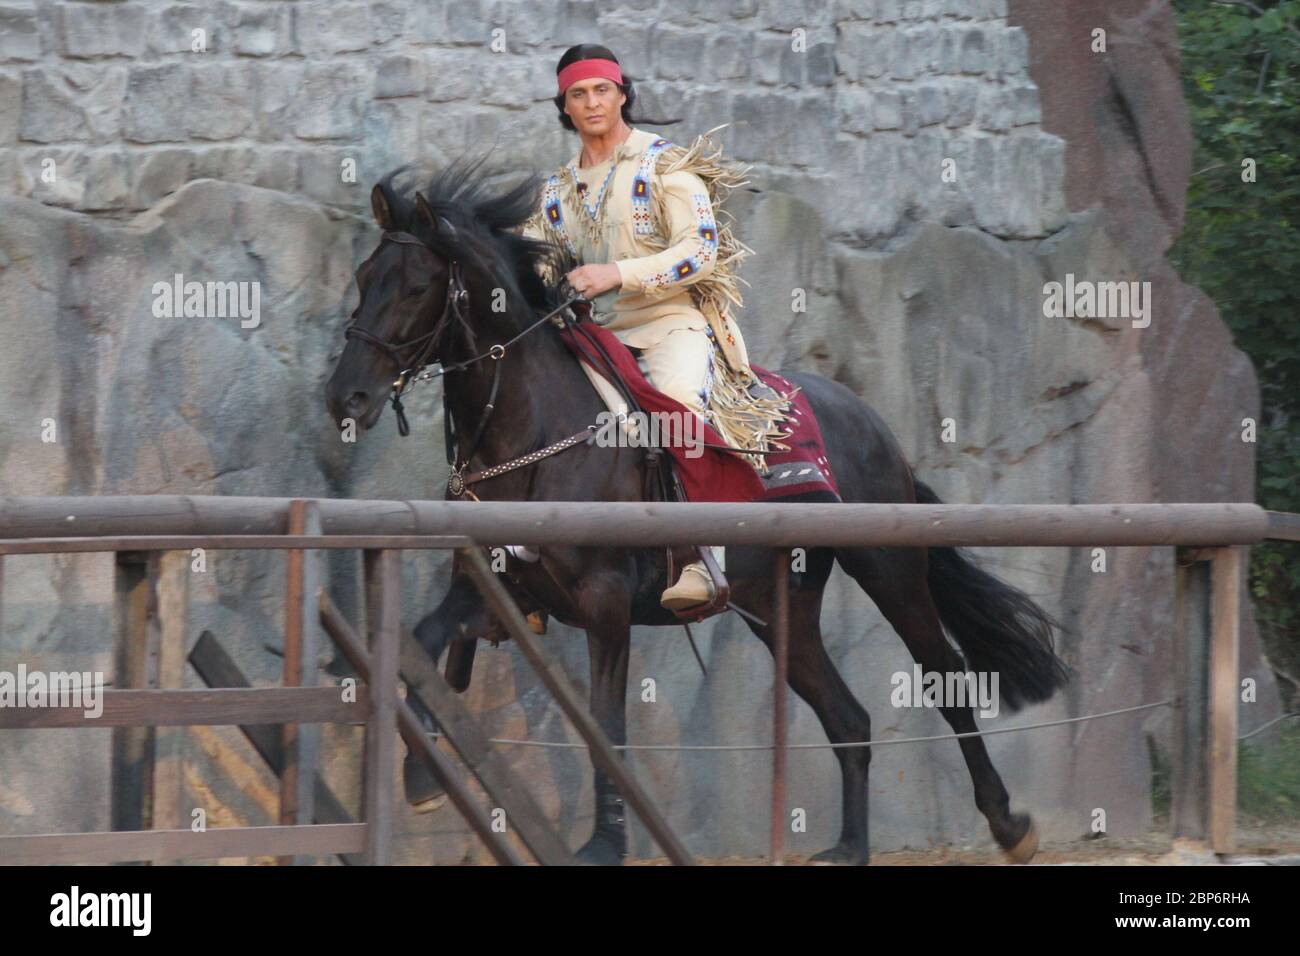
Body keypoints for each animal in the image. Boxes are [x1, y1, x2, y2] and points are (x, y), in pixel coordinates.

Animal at [325, 158, 1066, 868]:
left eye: (416, 286)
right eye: (363, 276)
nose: (347, 395)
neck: (536, 432)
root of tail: (874, 427)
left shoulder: (605, 600)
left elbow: (605, 723)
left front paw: (604, 843)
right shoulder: (491, 581)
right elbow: (433, 641)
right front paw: (421, 775)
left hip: (889, 571)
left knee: (945, 676)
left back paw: (1009, 824)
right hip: (779, 609)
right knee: (849, 719)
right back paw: (849, 847)